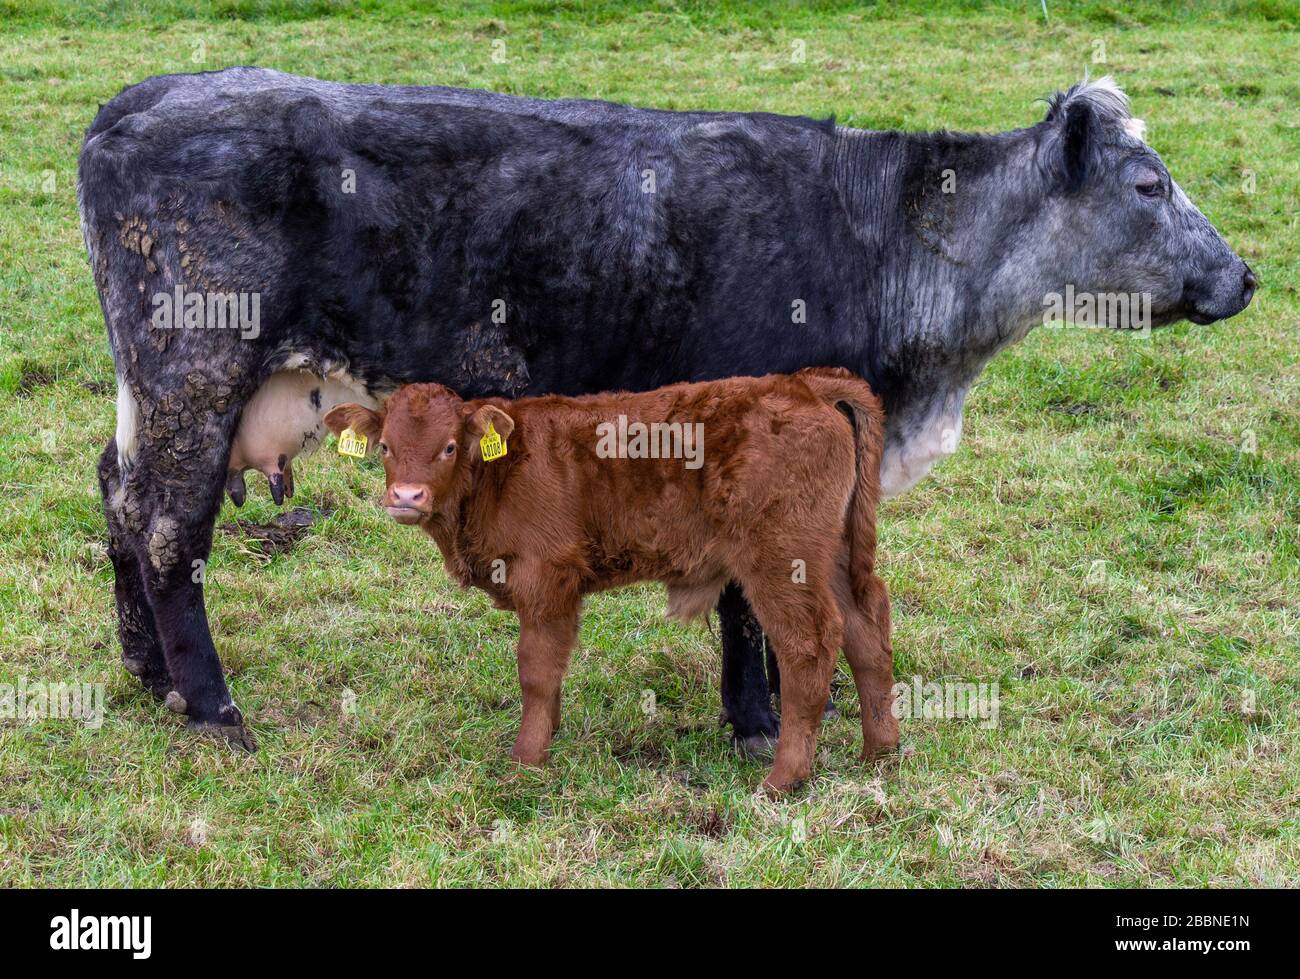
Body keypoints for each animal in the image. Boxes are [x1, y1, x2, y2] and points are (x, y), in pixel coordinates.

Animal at [323, 369, 894, 795]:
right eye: (385, 447)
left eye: (447, 447)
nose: (406, 496)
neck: (496, 475)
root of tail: (802, 383)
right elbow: (551, 672)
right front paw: (548, 735)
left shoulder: (547, 578)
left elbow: (536, 670)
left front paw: (525, 761)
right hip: (831, 556)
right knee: (867, 629)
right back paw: (880, 752)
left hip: (781, 559)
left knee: (809, 646)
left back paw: (783, 779)